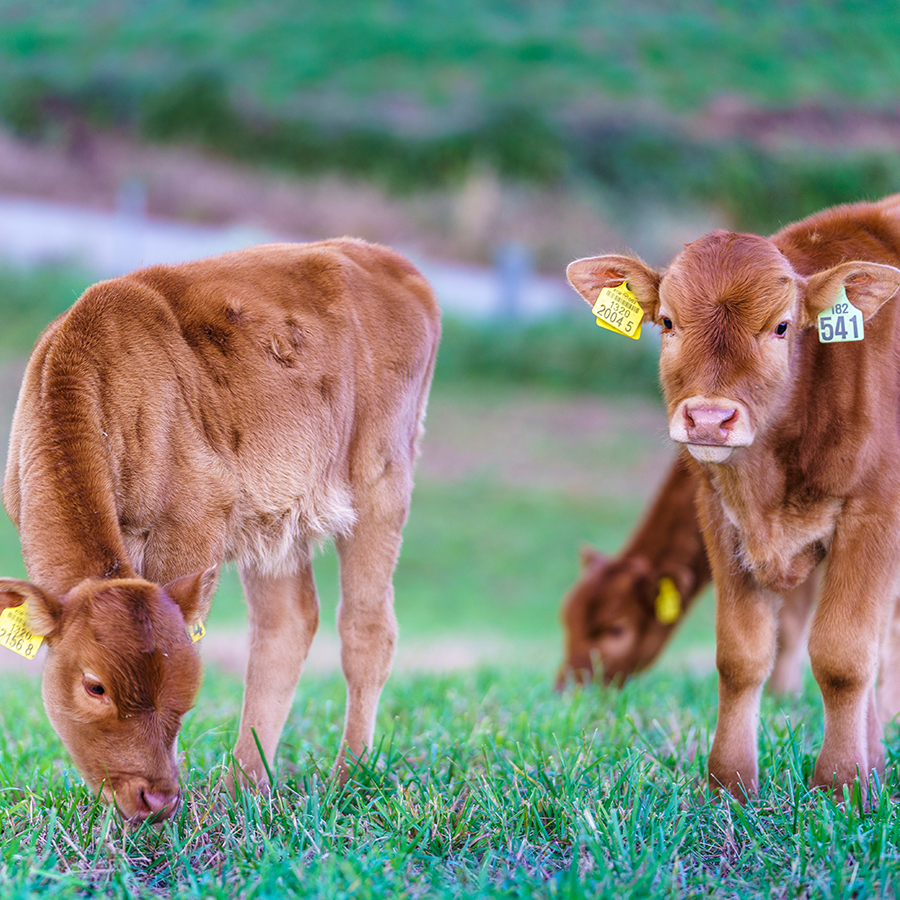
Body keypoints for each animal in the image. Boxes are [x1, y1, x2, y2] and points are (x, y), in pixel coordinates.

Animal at [0, 237, 442, 824]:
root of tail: (392, 262)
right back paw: (244, 786)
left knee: (366, 627)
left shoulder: (192, 525)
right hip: (276, 518)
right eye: (94, 687)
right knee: (287, 623)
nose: (156, 797)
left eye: (186, 686)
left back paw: (347, 777)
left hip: (383, 481)